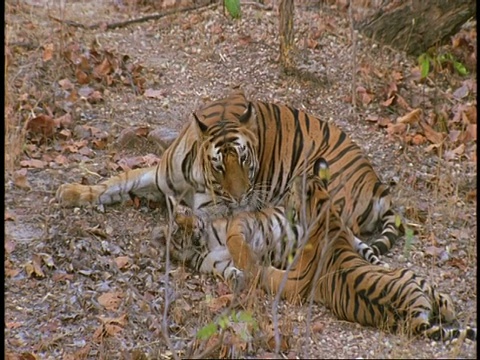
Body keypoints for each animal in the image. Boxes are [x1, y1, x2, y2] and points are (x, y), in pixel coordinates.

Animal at [55, 89, 402, 260]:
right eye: (219, 165)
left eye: (246, 160)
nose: (239, 197)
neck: (195, 177)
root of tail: (377, 184)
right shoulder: (159, 178)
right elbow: (119, 180)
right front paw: (73, 192)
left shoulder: (215, 211)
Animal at [262, 159, 476, 342]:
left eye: (289, 192)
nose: (281, 203)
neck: (325, 209)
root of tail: (414, 313)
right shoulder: (354, 239)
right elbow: (370, 253)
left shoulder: (297, 281)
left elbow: (271, 276)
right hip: (417, 279)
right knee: (447, 307)